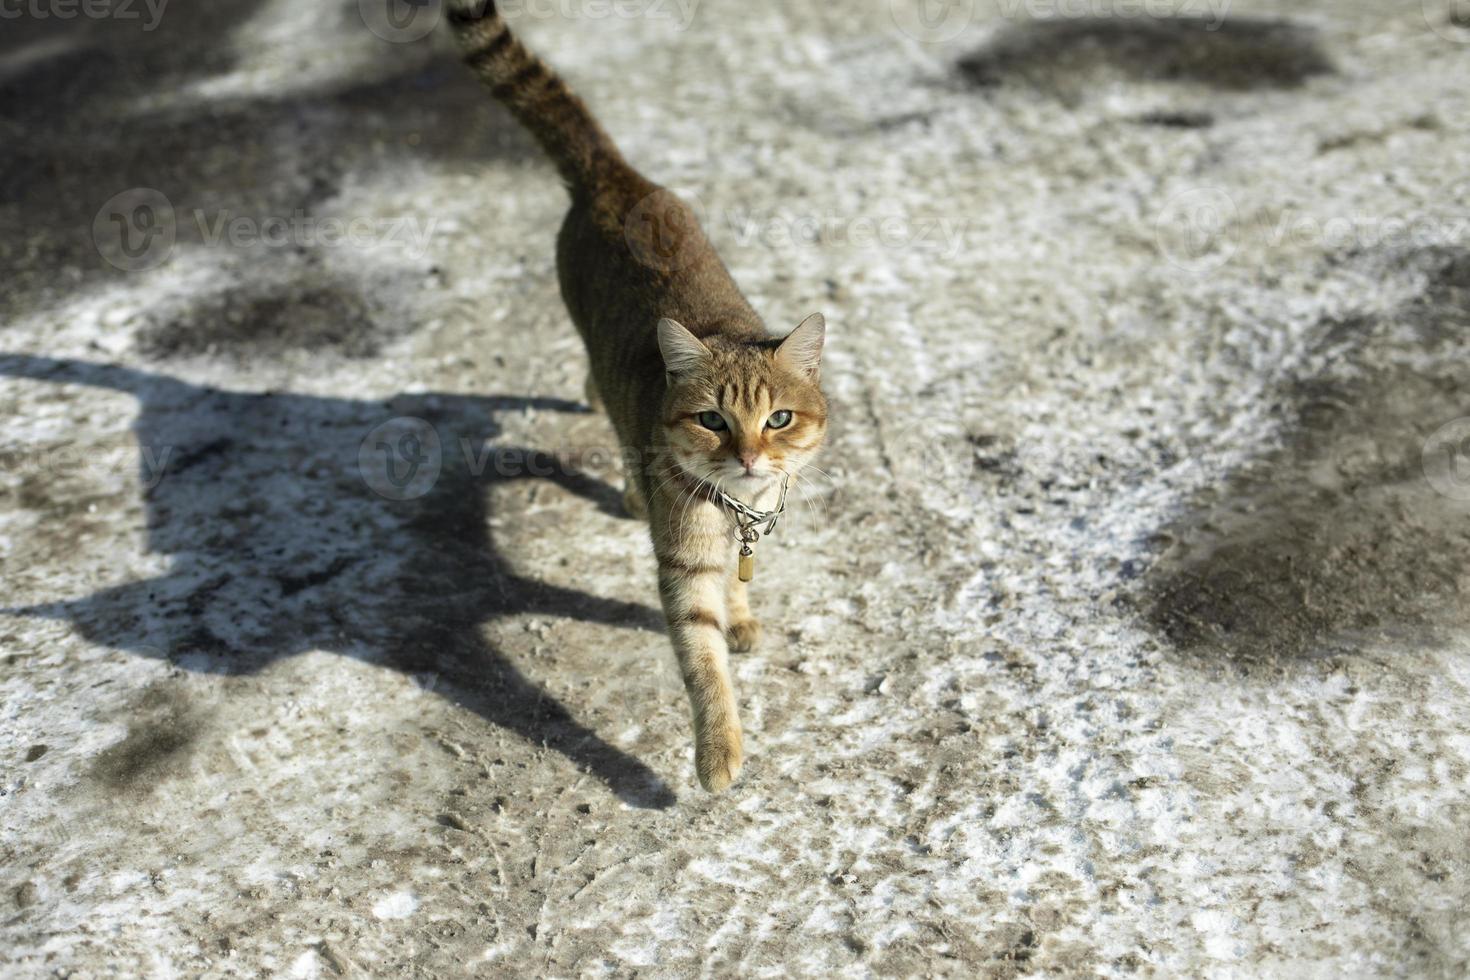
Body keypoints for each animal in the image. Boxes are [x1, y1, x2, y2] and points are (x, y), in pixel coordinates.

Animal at [446, 0, 829, 793]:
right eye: (713, 420)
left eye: (778, 419)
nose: (750, 458)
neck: (736, 504)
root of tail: (615, 177)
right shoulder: (682, 569)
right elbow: (703, 663)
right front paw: (718, 753)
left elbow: (734, 588)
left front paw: (741, 613)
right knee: (606, 403)